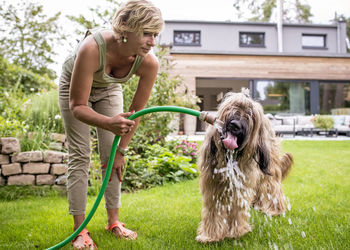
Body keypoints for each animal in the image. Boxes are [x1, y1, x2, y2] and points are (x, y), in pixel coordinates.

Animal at [197, 90, 292, 242]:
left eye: (250, 114)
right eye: (232, 107)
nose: (235, 125)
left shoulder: (242, 181)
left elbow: (237, 206)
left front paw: (235, 231)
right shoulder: (212, 182)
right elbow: (213, 208)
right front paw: (211, 235)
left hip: (269, 167)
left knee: (271, 186)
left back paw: (274, 209)